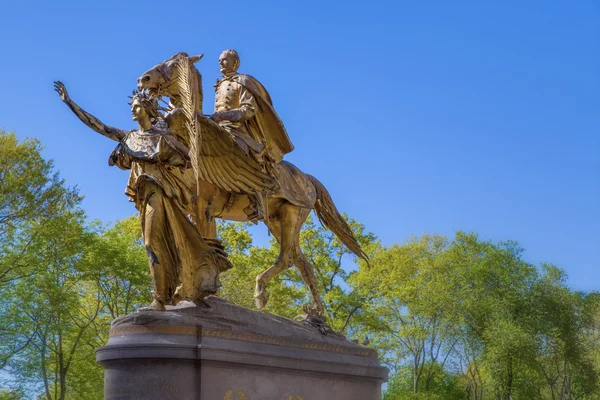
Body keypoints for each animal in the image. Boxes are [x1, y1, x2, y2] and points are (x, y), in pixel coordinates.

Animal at [138, 51, 368, 312]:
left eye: (172, 64)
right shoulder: (191, 208)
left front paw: (209, 294)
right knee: (302, 262)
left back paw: (261, 292)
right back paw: (316, 314)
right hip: (276, 221)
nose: (143, 79)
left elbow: (209, 242)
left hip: (291, 214)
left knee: (286, 258)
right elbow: (204, 242)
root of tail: (307, 179)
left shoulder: (205, 206)